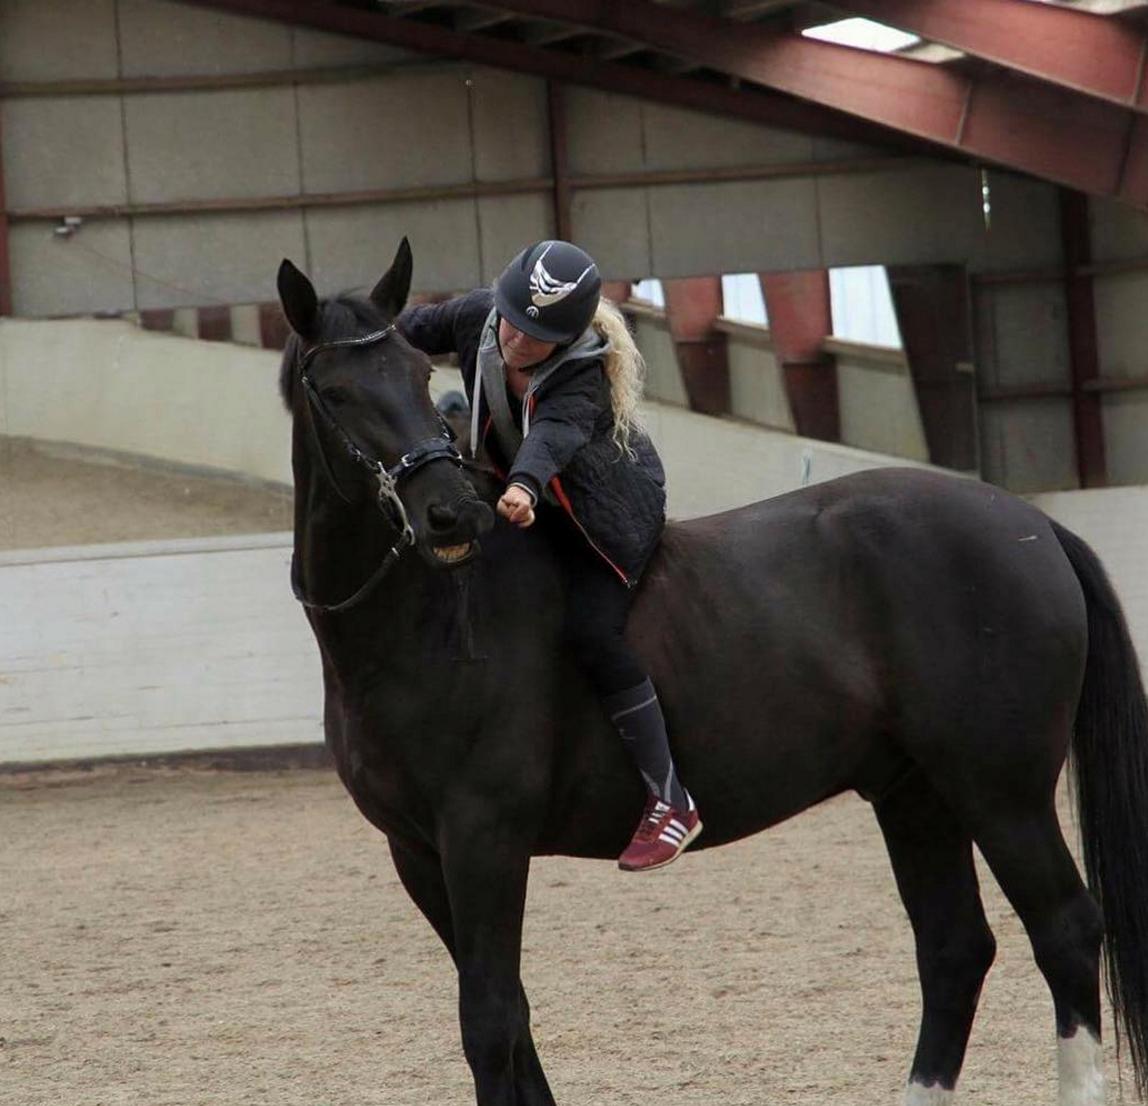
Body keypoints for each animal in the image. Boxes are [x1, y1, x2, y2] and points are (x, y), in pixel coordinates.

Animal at [275, 242, 1148, 1106]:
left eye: (416, 377)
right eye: (337, 390)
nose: (453, 514)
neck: (433, 617)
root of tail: (1033, 524)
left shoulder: (483, 839)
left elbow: (491, 1024)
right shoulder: (421, 853)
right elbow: (512, 1023)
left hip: (1000, 793)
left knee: (1065, 930)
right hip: (915, 793)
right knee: (954, 948)